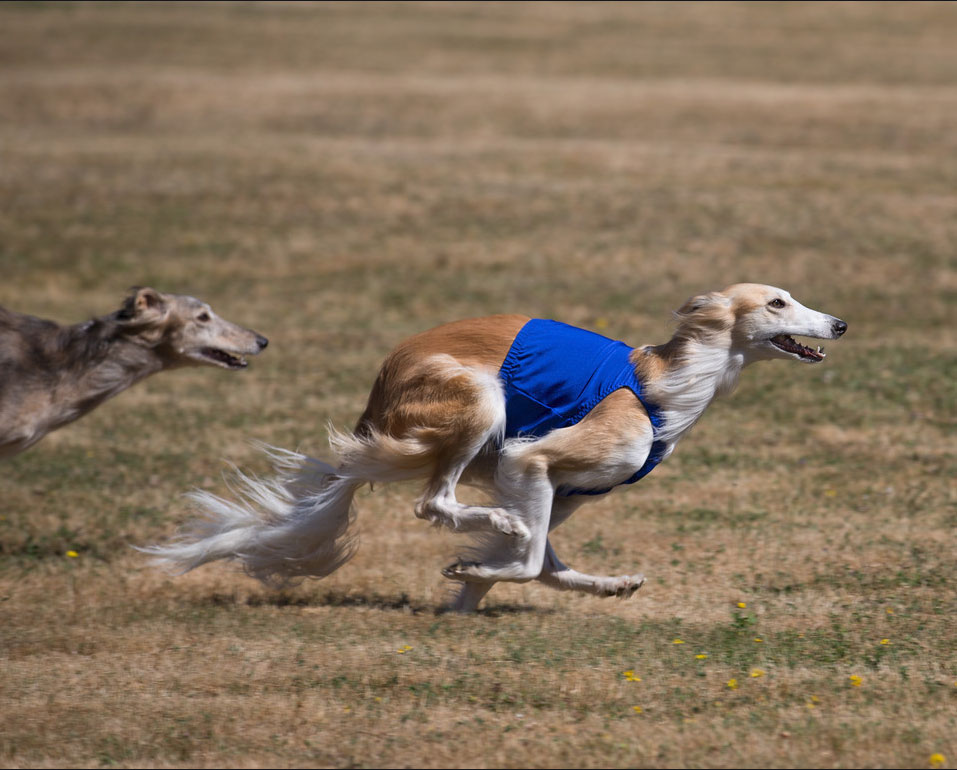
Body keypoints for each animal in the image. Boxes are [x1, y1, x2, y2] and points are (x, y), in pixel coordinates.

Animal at [142, 282, 844, 612]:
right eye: (777, 301)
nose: (839, 323)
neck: (663, 385)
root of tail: (379, 391)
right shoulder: (529, 459)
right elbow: (528, 561)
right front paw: (472, 575)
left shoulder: (566, 492)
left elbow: (545, 562)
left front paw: (469, 596)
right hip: (480, 404)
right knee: (434, 502)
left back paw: (603, 582)